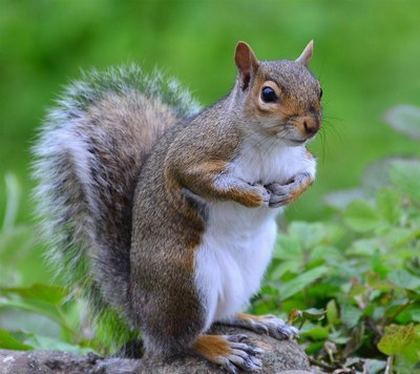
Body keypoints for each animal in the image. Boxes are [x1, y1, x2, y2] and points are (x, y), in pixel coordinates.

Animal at [32, 40, 322, 372]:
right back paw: (221, 348)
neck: (271, 144)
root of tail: (140, 312)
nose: (312, 126)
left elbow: (309, 174)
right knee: (177, 341)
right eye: (268, 94)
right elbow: (198, 178)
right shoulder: (192, 156)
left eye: (319, 89)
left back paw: (259, 320)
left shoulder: (299, 159)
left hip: (249, 268)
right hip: (186, 280)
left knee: (222, 314)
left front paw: (288, 193)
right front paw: (252, 196)